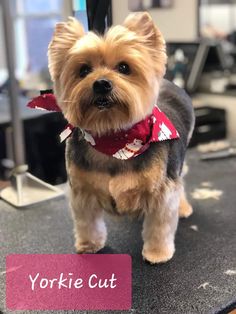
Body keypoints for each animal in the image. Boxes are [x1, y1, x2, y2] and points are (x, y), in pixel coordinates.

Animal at [48, 11, 195, 262]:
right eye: (84, 70)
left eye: (124, 67)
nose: (101, 83)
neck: (114, 137)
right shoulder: (82, 192)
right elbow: (87, 223)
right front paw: (89, 244)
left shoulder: (162, 192)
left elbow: (160, 225)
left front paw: (157, 252)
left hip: (177, 161)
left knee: (181, 180)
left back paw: (183, 208)